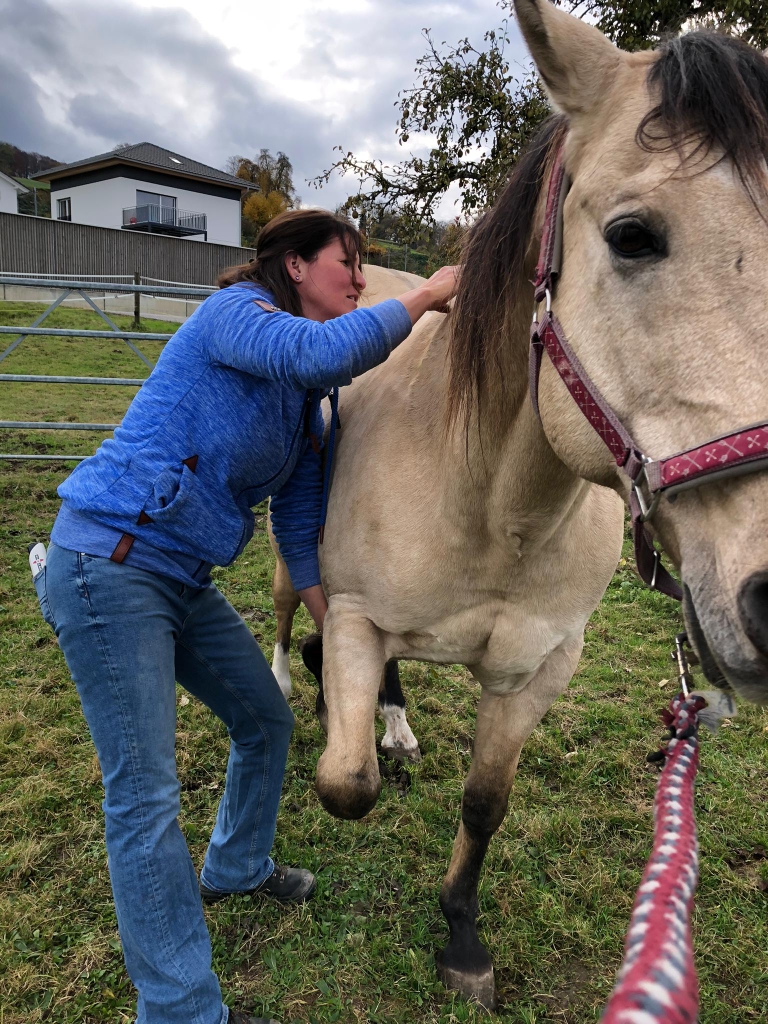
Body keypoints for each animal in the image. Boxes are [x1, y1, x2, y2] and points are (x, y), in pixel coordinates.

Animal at [268, 0, 768, 1007]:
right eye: (631, 235)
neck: (491, 506)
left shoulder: (535, 671)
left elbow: (484, 802)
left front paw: (461, 936)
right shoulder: (354, 614)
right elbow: (345, 781)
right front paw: (336, 712)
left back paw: (397, 726)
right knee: (281, 609)